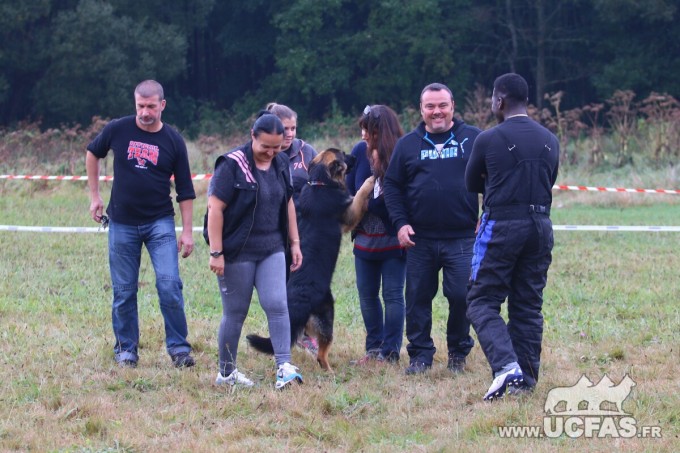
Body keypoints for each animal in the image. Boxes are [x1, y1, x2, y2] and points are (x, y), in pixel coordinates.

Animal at [246, 148, 374, 370]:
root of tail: (297, 305)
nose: (356, 157)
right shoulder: (349, 214)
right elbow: (359, 195)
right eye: (344, 155)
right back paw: (329, 371)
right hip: (327, 318)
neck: (320, 183)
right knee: (322, 354)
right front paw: (371, 179)